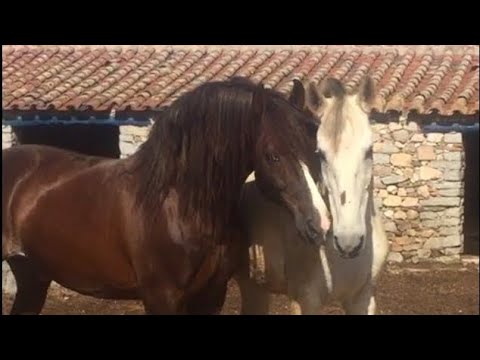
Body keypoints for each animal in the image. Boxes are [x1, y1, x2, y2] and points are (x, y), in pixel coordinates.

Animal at [1, 77, 328, 314]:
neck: (179, 205)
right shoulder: (162, 297)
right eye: (272, 156)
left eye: (313, 147)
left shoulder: (212, 295)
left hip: (32, 277)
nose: (320, 223)